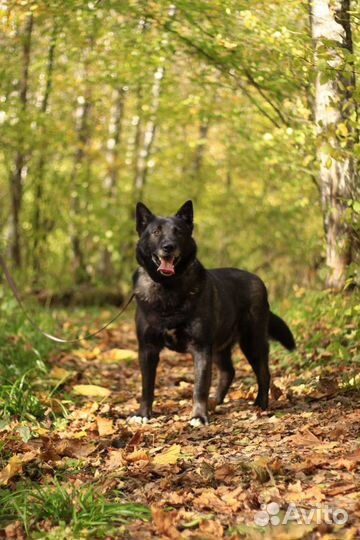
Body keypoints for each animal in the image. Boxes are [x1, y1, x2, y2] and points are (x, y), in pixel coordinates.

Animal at [131, 200, 294, 424]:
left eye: (178, 232)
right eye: (156, 232)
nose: (168, 247)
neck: (168, 287)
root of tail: (257, 280)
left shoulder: (201, 348)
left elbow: (200, 386)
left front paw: (199, 417)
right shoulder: (147, 348)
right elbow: (147, 387)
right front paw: (142, 415)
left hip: (252, 342)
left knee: (263, 373)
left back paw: (260, 404)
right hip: (220, 348)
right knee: (228, 372)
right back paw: (215, 402)